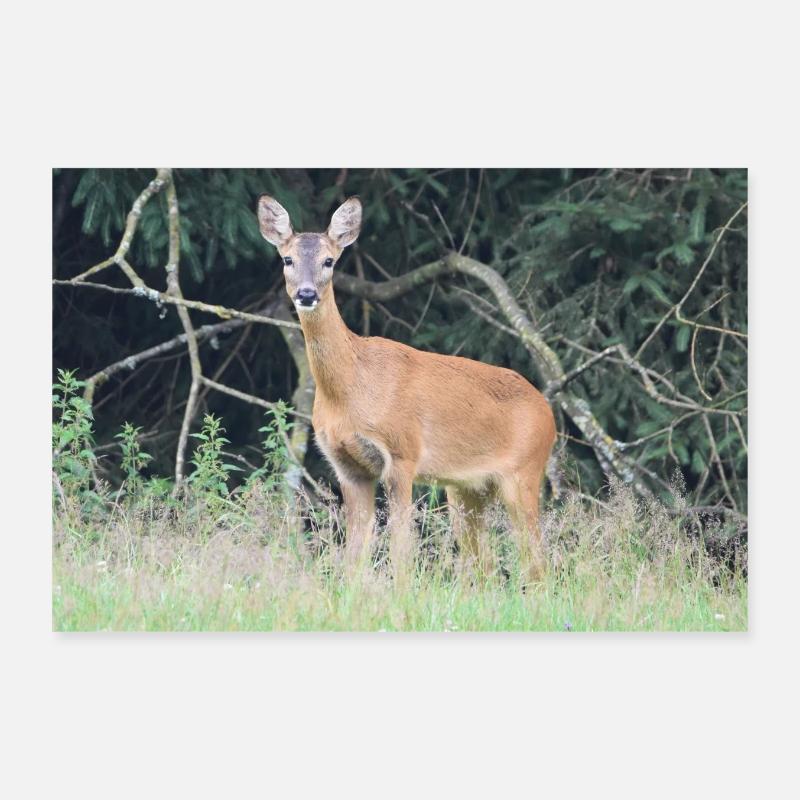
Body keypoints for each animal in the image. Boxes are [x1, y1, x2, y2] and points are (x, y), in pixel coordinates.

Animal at [257, 194, 556, 584]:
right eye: (287, 259)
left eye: (329, 260)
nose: (306, 294)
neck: (350, 391)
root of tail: (548, 412)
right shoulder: (347, 467)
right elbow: (354, 552)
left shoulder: (402, 453)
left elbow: (401, 548)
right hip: (465, 489)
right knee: (486, 563)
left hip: (524, 472)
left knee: (536, 561)